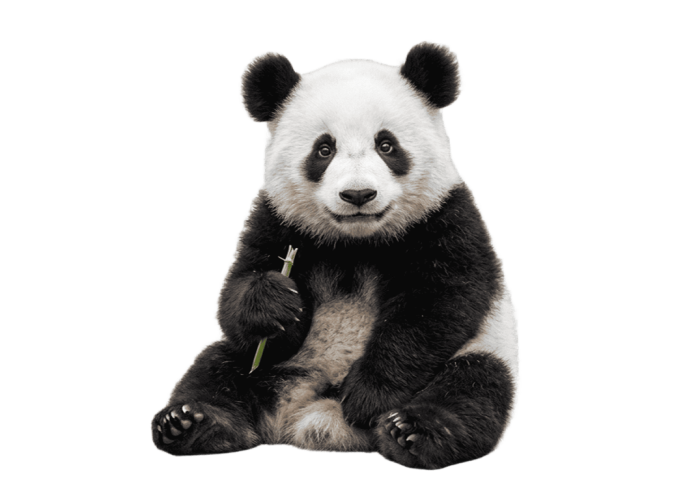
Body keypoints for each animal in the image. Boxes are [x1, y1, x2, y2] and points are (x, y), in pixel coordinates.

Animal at [150, 40, 520, 470]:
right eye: (324, 149)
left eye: (386, 145)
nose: (358, 194)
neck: (355, 242)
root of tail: (306, 416)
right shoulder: (275, 219)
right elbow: (239, 292)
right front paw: (272, 300)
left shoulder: (446, 217)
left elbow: (437, 305)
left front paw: (367, 398)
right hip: (269, 367)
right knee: (217, 367)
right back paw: (191, 422)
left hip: (488, 347)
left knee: (473, 387)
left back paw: (410, 432)